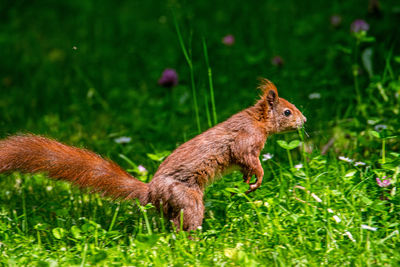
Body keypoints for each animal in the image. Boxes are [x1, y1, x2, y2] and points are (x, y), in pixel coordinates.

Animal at [0, 79, 306, 232]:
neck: (257, 121)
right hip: (187, 198)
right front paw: (258, 178)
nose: (304, 121)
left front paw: (248, 181)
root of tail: (151, 193)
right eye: (287, 111)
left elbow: (245, 166)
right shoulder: (245, 140)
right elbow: (249, 159)